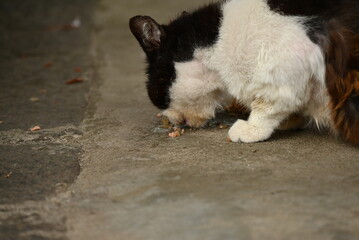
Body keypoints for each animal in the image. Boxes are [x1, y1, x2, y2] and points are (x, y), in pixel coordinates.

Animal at [130, 0, 359, 144]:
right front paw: (290, 121)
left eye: (157, 87)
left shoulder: (285, 70)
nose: (171, 120)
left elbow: (268, 106)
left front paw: (251, 128)